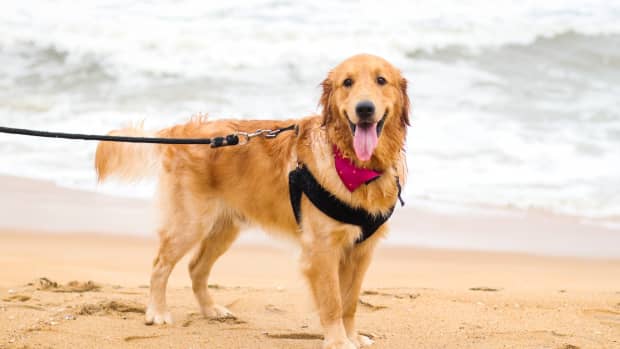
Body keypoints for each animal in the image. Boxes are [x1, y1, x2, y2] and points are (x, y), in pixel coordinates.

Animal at [94, 53, 410, 346]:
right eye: (347, 82)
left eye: (381, 80)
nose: (365, 109)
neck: (354, 165)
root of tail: (182, 130)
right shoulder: (321, 249)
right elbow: (332, 302)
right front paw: (338, 341)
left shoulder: (362, 250)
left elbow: (350, 301)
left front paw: (353, 336)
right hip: (190, 223)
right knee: (160, 264)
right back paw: (157, 312)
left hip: (224, 228)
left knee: (196, 267)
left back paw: (211, 310)